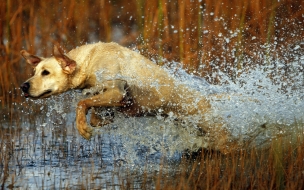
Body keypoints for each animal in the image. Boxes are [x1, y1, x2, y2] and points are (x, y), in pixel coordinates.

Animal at [20, 42, 238, 153]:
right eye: (34, 71)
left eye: (46, 72)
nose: (23, 86)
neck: (88, 61)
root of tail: (208, 100)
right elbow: (94, 110)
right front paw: (99, 118)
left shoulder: (117, 90)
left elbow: (82, 103)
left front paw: (82, 127)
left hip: (218, 134)